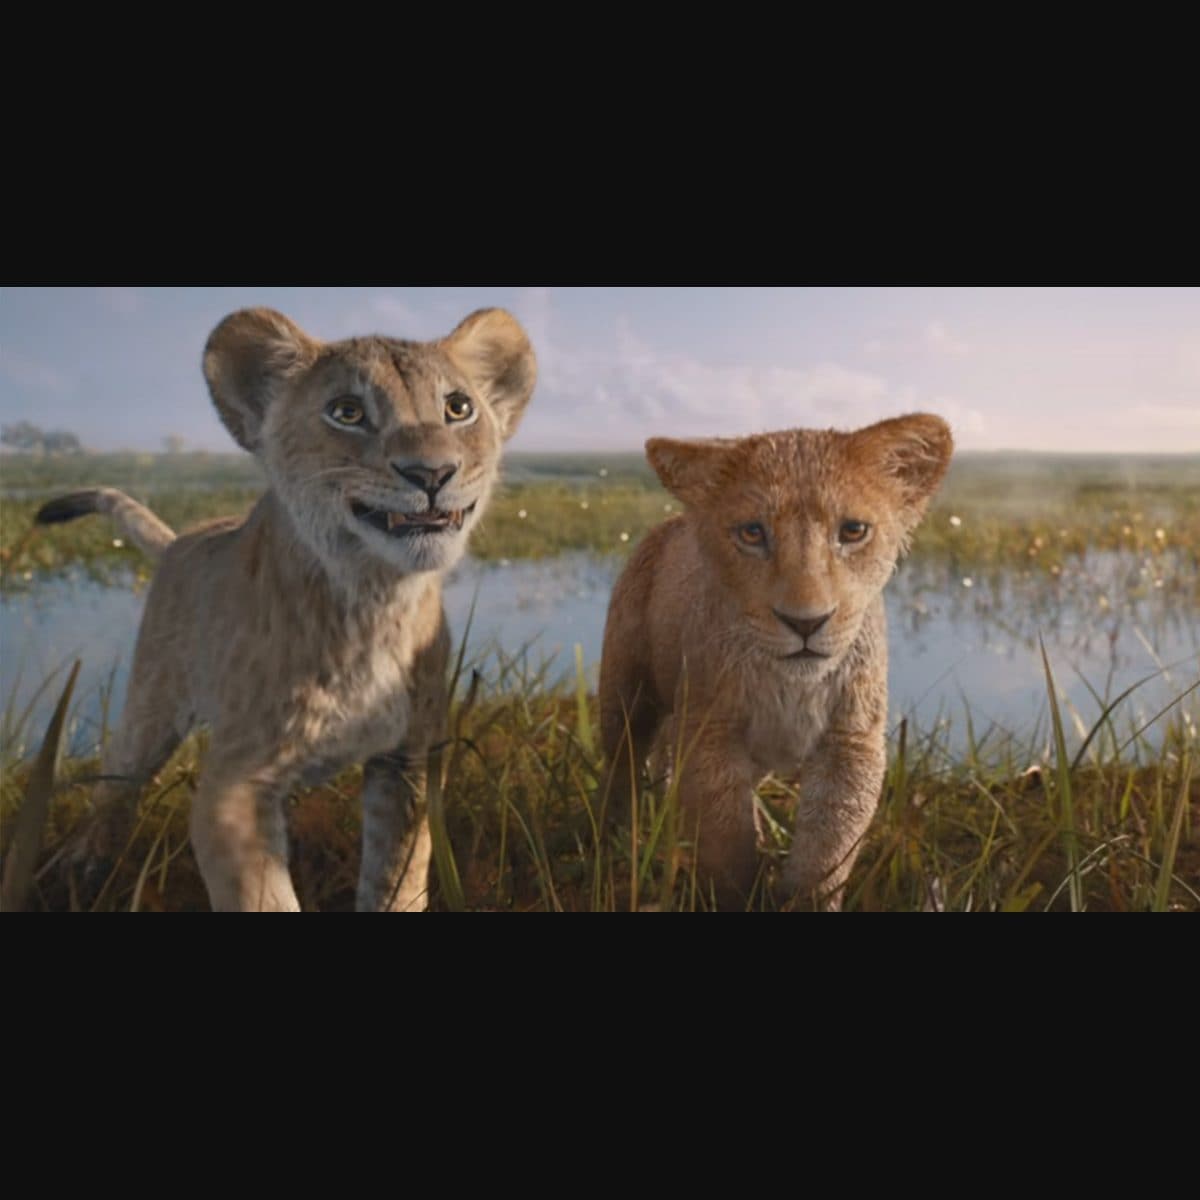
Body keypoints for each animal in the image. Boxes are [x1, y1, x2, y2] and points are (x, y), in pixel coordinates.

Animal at [35, 306, 536, 911]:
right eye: (347, 412)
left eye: (458, 408)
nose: (432, 473)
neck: (373, 598)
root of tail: (184, 539)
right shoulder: (232, 787)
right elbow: (265, 897)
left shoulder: (406, 763)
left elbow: (398, 877)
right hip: (151, 704)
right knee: (118, 781)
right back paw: (82, 866)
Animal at [599, 414, 953, 910]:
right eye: (752, 533)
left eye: (853, 531)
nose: (805, 622)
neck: (792, 685)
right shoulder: (710, 732)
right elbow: (726, 843)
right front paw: (737, 897)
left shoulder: (851, 743)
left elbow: (827, 849)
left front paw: (804, 896)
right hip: (625, 694)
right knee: (621, 765)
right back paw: (611, 838)